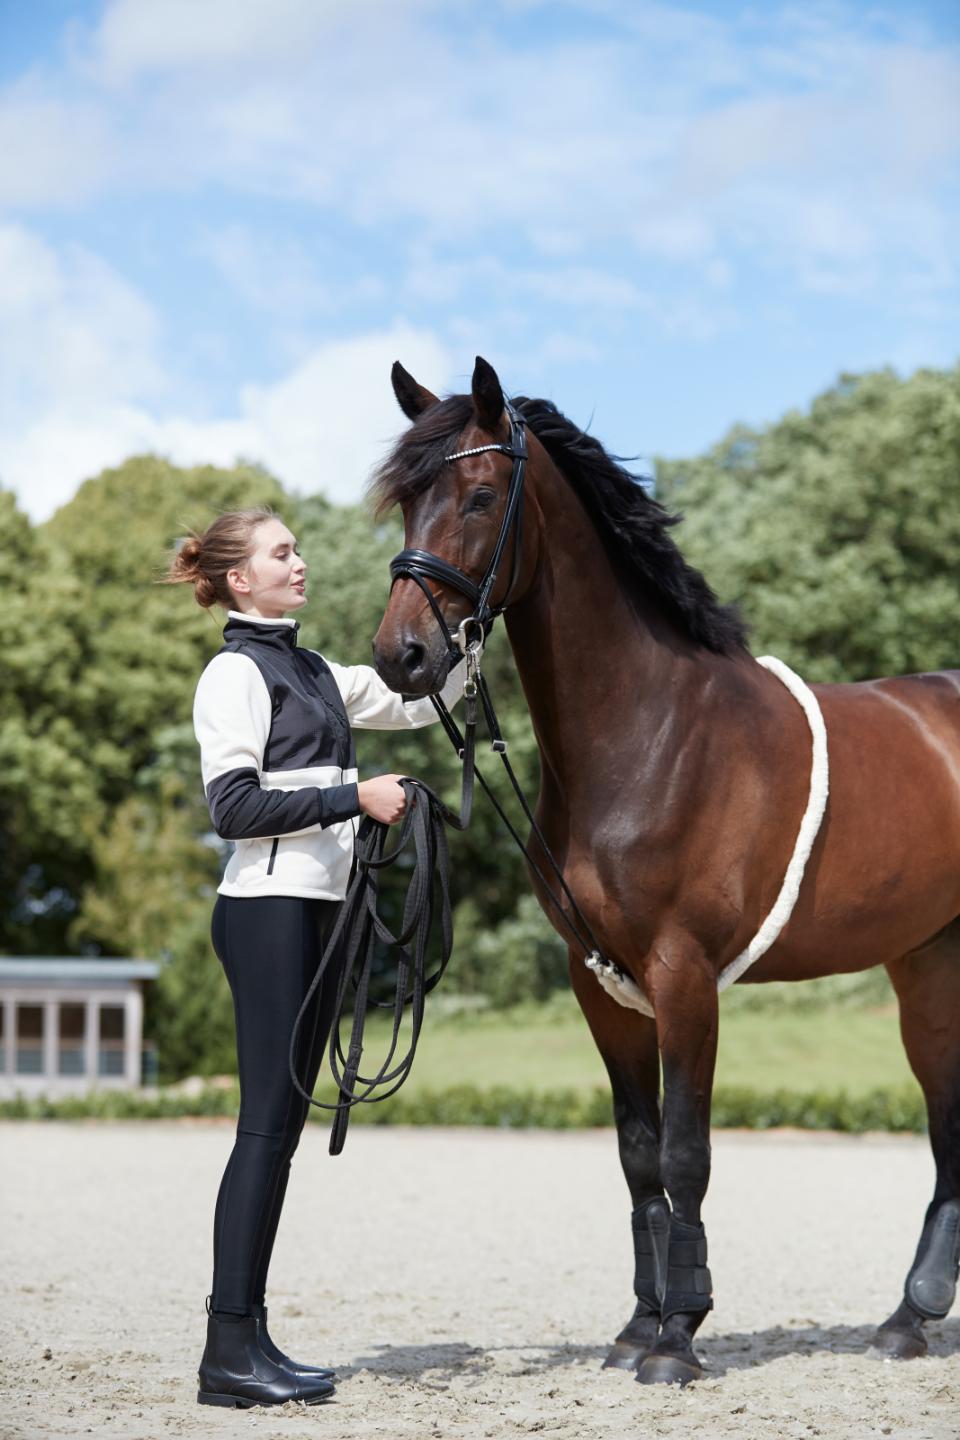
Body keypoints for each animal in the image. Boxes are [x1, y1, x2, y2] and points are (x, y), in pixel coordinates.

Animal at [368, 355, 960, 1386]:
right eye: (406, 501)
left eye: (478, 496)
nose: (401, 654)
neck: (648, 733)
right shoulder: (600, 981)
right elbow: (639, 1155)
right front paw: (641, 1325)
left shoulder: (685, 977)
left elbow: (688, 1153)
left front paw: (681, 1337)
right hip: (925, 966)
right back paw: (908, 1319)